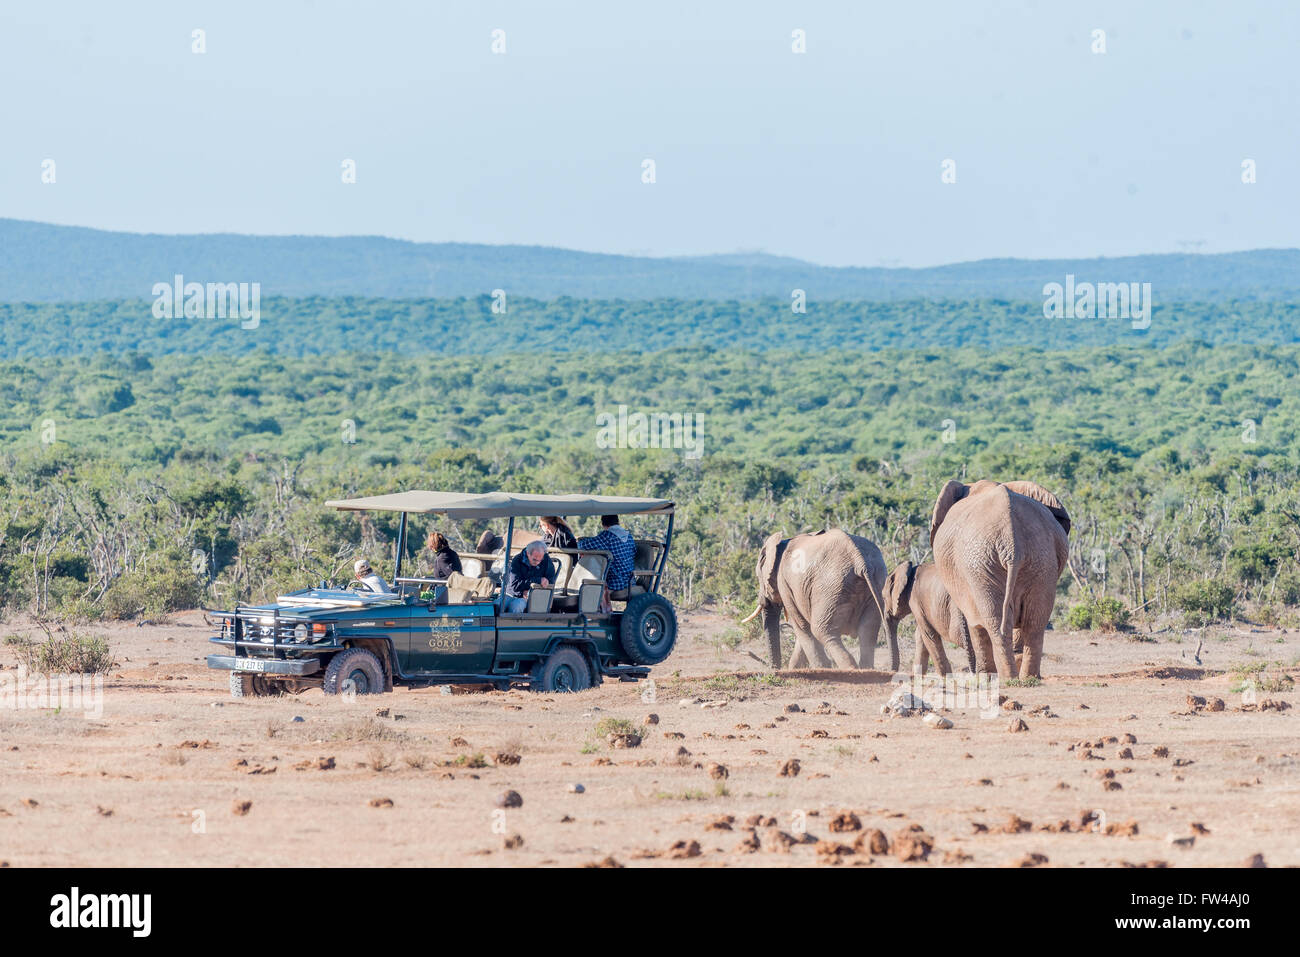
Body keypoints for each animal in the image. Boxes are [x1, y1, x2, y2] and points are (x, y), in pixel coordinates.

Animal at [743, 527, 894, 670]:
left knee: (821, 630)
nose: (775, 670)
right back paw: (866, 669)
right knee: (868, 630)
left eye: (758, 578)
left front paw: (819, 668)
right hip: (877, 582)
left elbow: (802, 626)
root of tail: (860, 561)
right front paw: (796, 669)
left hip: (831, 586)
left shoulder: (785, 584)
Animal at [930, 478, 1071, 681]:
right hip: (1040, 559)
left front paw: (984, 676)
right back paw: (1028, 678)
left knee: (994, 621)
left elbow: (976, 623)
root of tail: (1012, 543)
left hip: (980, 564)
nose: (971, 671)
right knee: (1035, 621)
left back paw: (1005, 678)